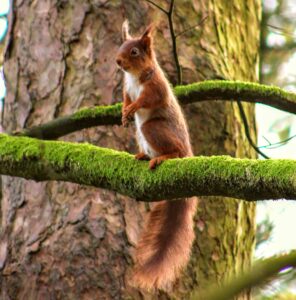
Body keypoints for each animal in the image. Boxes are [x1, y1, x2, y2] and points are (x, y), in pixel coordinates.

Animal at [117, 21, 198, 290]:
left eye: (134, 52)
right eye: (120, 47)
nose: (118, 61)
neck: (133, 76)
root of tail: (187, 153)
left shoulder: (155, 86)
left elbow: (148, 99)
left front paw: (133, 108)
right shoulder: (126, 88)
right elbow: (125, 98)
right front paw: (124, 112)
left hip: (152, 130)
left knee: (172, 149)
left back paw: (164, 157)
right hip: (141, 135)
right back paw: (142, 156)